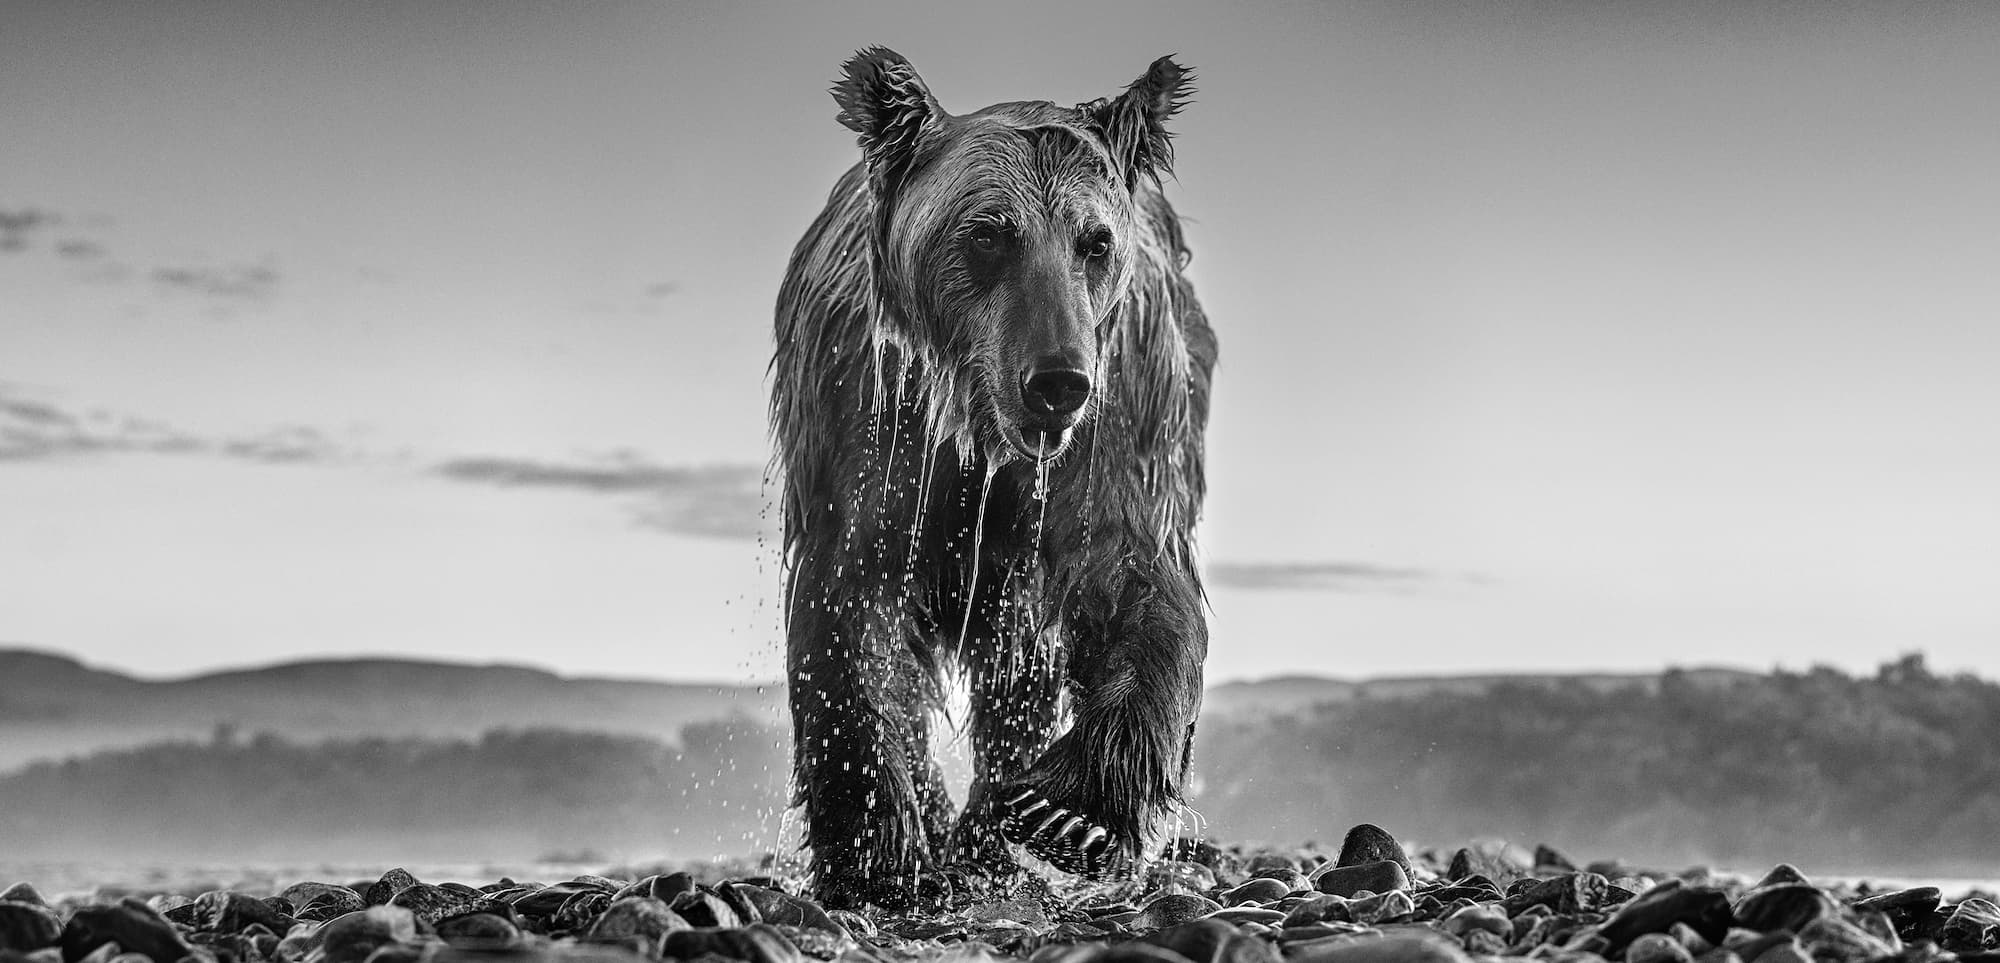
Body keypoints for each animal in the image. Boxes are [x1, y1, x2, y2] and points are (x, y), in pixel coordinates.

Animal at [770, 46, 1217, 909]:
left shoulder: (1117, 420)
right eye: (988, 235)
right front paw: (879, 851)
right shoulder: (872, 418)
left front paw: (1070, 813)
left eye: (1095, 241)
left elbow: (1135, 579)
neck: (981, 428)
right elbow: (852, 609)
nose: (1056, 380)